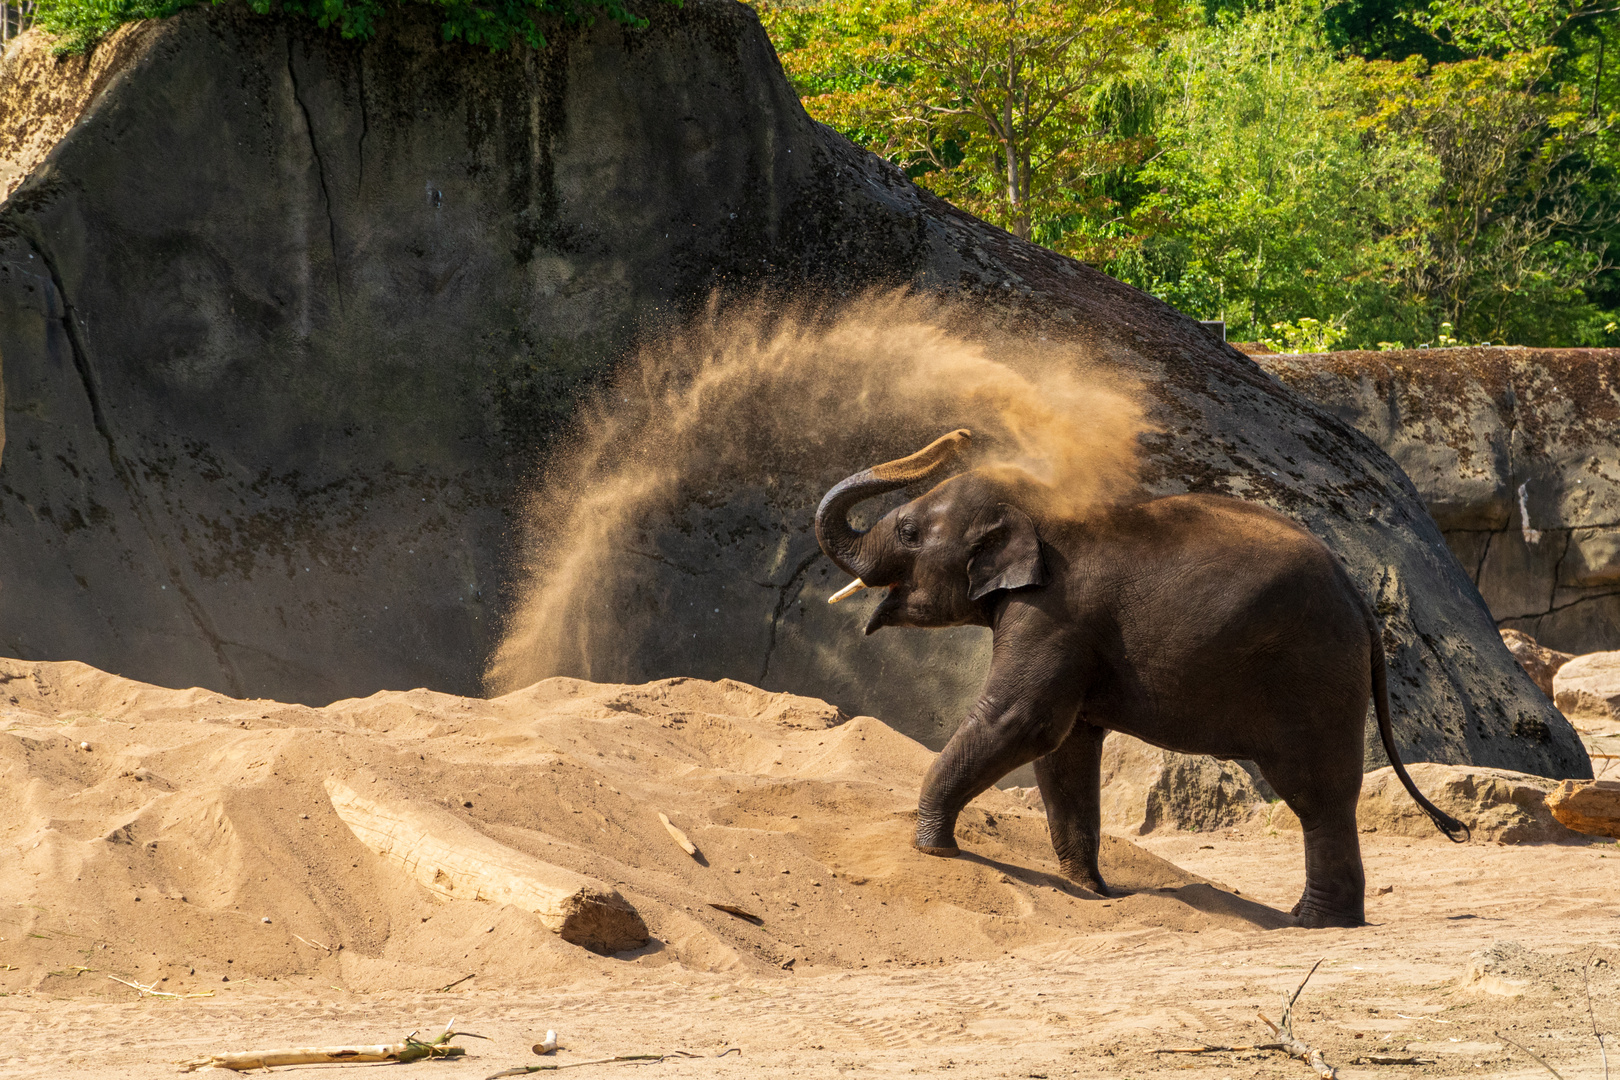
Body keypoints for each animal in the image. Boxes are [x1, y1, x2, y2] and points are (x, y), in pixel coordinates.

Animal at [816, 427, 1464, 926]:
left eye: (909, 533)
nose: (961, 435)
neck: (1043, 508)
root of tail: (1359, 602)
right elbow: (1065, 749)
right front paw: (1090, 892)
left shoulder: (1054, 613)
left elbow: (1022, 722)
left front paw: (934, 848)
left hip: (1314, 673)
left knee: (1316, 793)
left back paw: (1312, 923)